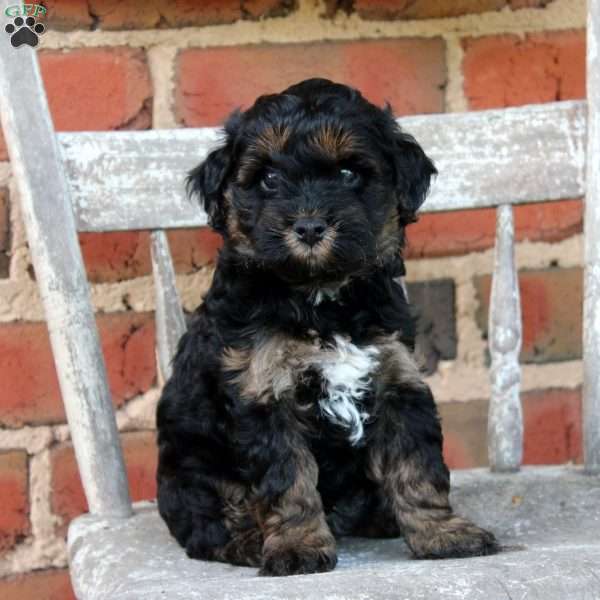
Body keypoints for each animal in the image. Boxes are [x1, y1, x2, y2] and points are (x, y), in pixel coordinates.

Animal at [156, 78, 496, 576]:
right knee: (207, 523)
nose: (310, 226)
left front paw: (443, 534)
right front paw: (296, 546)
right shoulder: (263, 390)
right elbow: (288, 478)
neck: (322, 300)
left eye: (348, 174)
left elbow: (418, 468)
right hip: (192, 469)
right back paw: (247, 543)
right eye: (269, 179)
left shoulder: (397, 379)